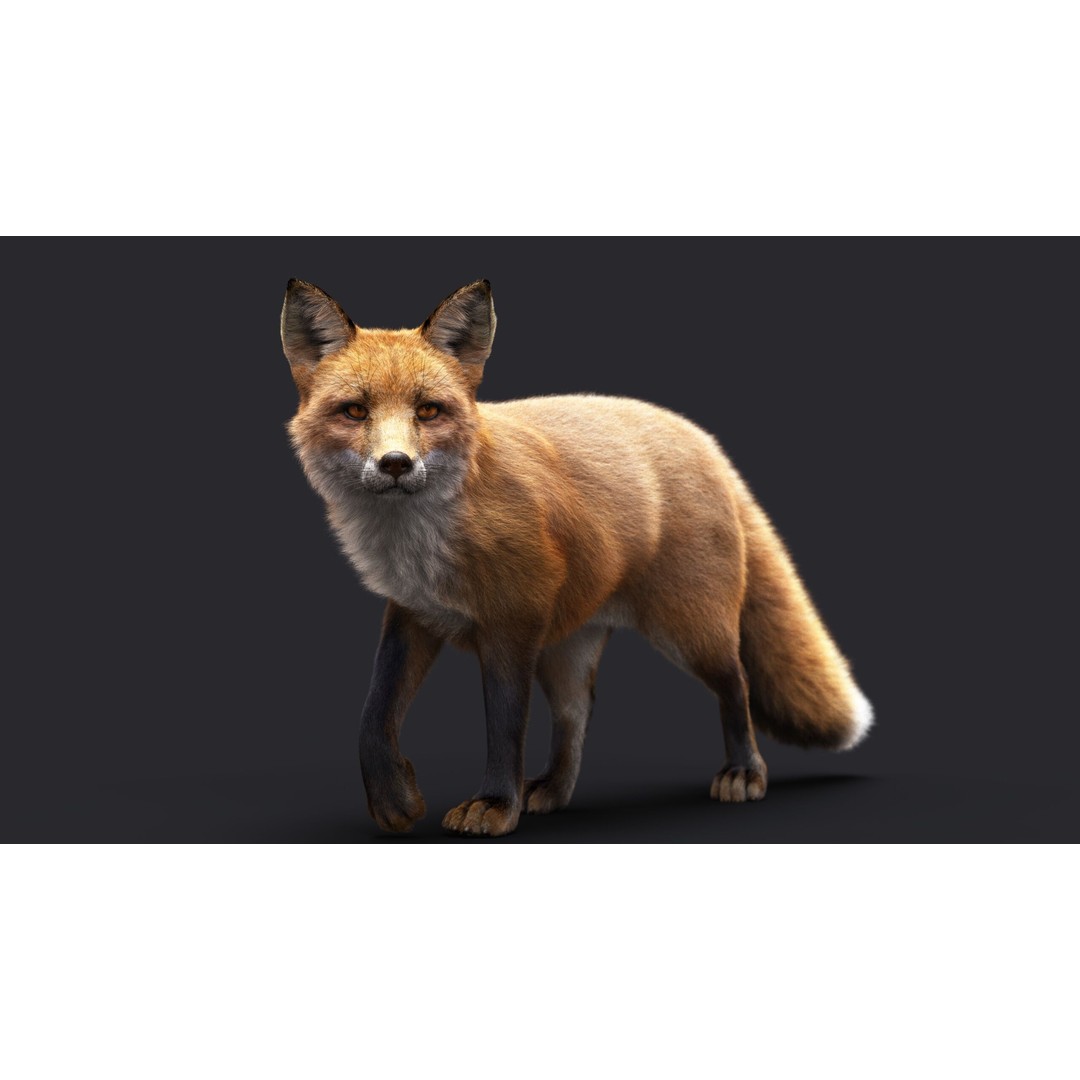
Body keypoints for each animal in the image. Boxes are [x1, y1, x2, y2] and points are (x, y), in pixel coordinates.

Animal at [281, 277, 873, 838]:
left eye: (428, 410)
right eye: (354, 411)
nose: (396, 463)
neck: (423, 543)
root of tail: (703, 440)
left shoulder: (513, 620)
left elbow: (504, 724)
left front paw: (495, 803)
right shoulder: (414, 613)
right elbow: (373, 714)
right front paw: (394, 801)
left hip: (690, 630)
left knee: (737, 683)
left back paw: (745, 772)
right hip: (568, 644)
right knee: (577, 713)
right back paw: (553, 789)